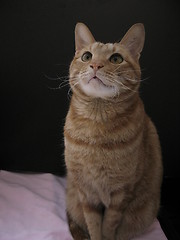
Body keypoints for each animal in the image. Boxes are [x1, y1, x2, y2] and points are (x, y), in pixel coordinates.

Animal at [64, 22, 162, 240]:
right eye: (87, 56)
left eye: (116, 59)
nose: (95, 65)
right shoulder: (86, 192)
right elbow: (93, 226)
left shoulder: (121, 194)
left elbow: (109, 227)